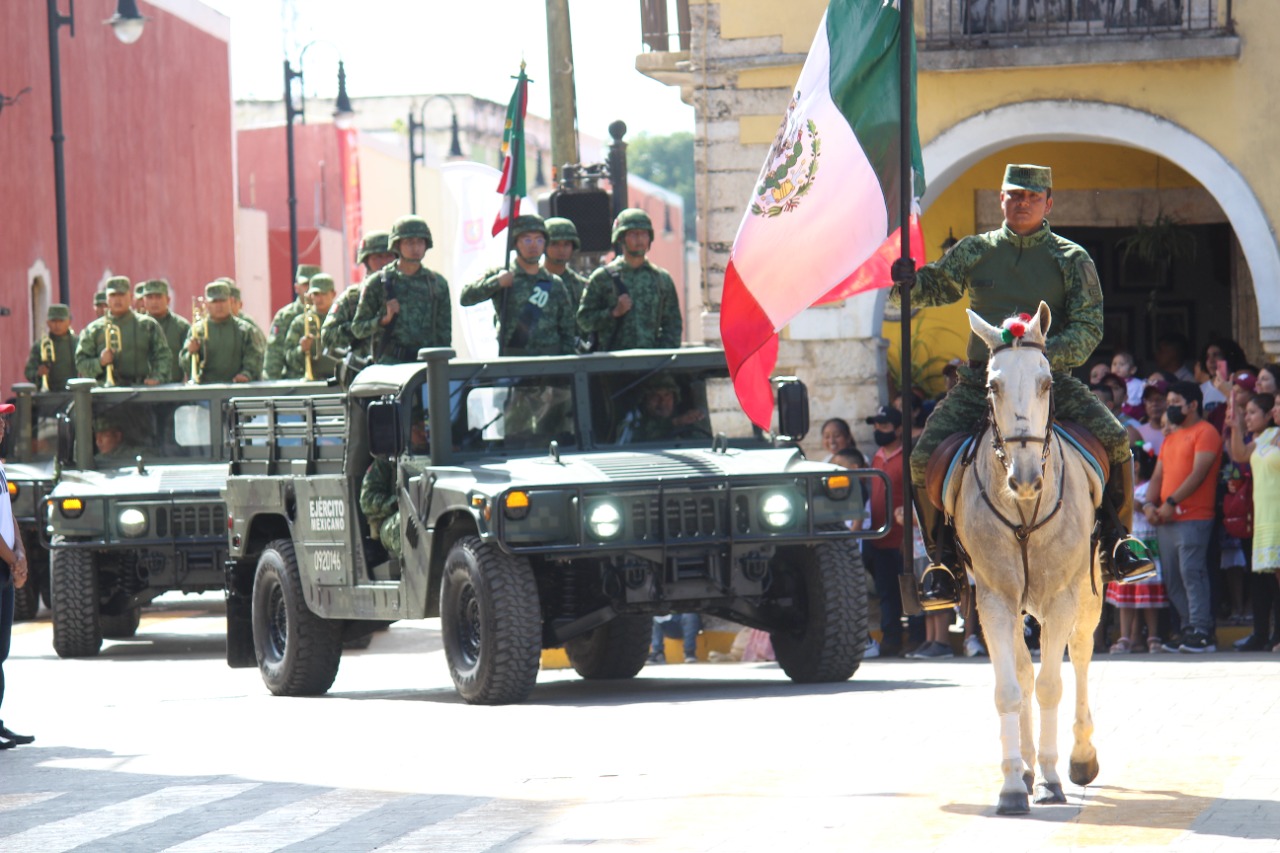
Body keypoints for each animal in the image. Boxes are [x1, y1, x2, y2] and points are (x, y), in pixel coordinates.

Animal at [947, 302, 1105, 814]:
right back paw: (1031, 767)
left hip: (1089, 592)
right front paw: (1015, 784)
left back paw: (1080, 757)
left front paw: (1055, 778)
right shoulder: (995, 599)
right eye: (992, 385)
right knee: (1023, 671)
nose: (1025, 478)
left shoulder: (1061, 597)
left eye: (1046, 382)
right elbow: (1010, 690)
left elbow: (1054, 684)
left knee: (1081, 653)